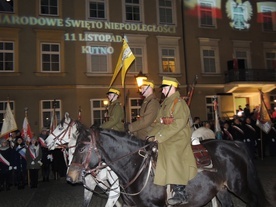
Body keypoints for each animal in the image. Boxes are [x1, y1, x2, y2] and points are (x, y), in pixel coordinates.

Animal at [66, 123, 270, 207]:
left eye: (82, 148)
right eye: (73, 147)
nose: (70, 176)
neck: (137, 168)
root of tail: (233, 144)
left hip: (241, 187)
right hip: (222, 190)